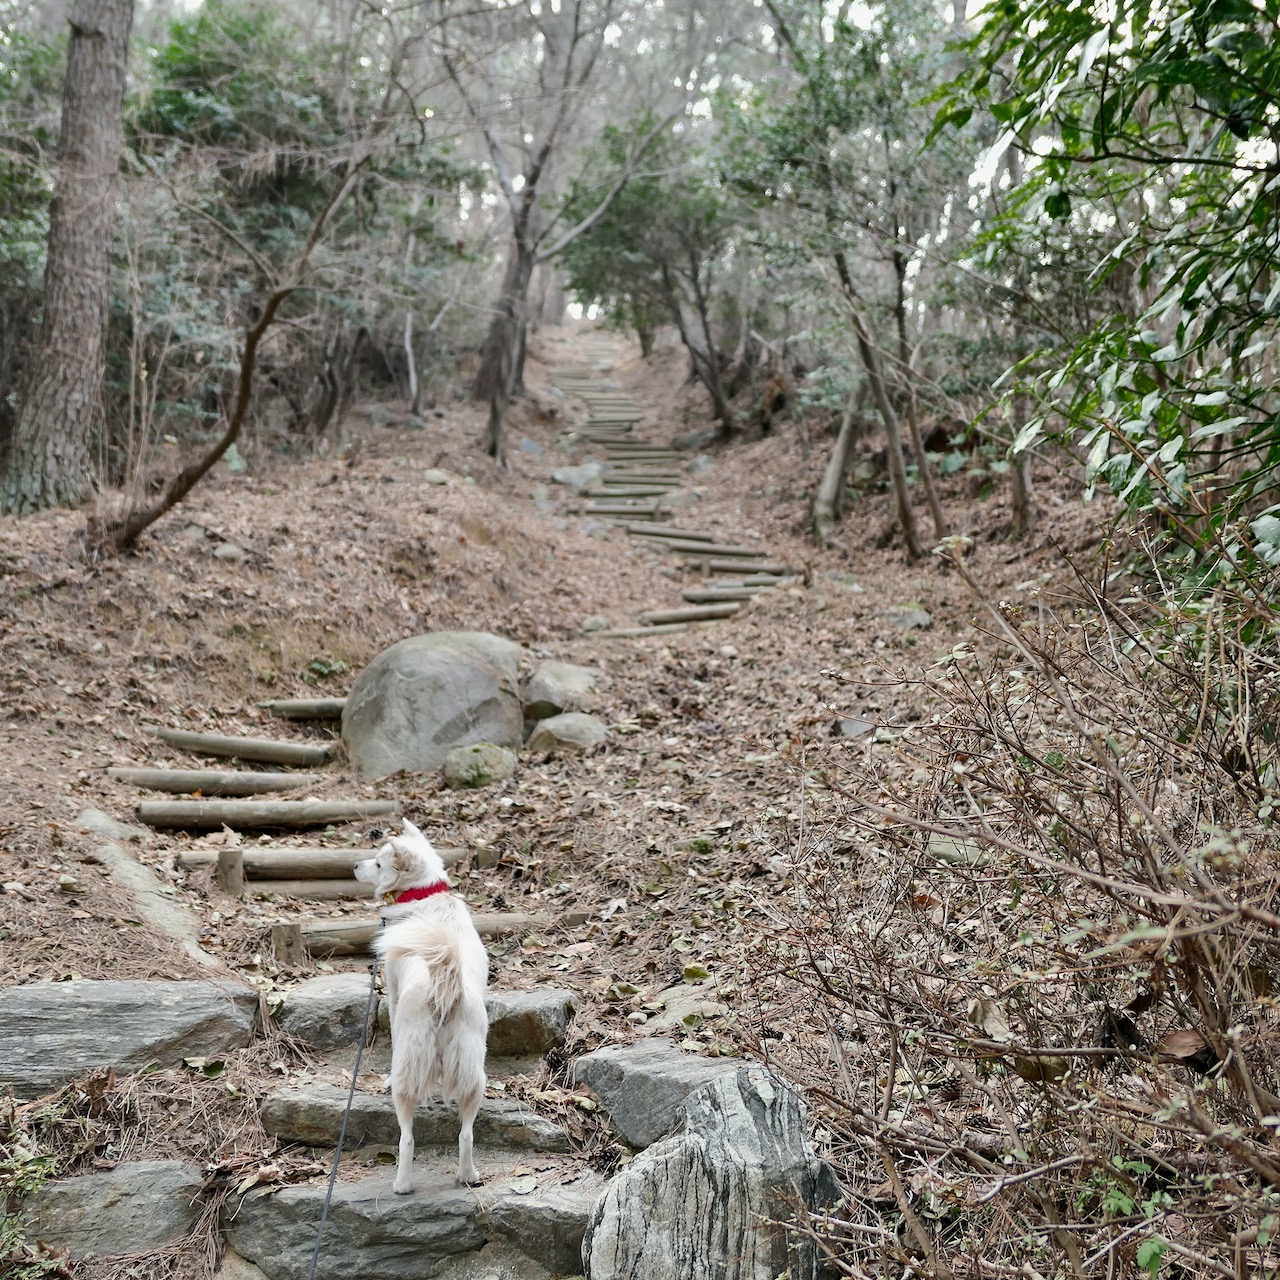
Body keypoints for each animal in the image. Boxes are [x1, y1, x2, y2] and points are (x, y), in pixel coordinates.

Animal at [355, 819, 488, 1187]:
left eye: (378, 863)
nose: (354, 866)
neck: (425, 894)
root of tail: (445, 984)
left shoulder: (393, 994)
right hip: (474, 1072)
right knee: (466, 1134)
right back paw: (468, 1176)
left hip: (409, 1068)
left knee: (407, 1137)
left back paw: (402, 1184)